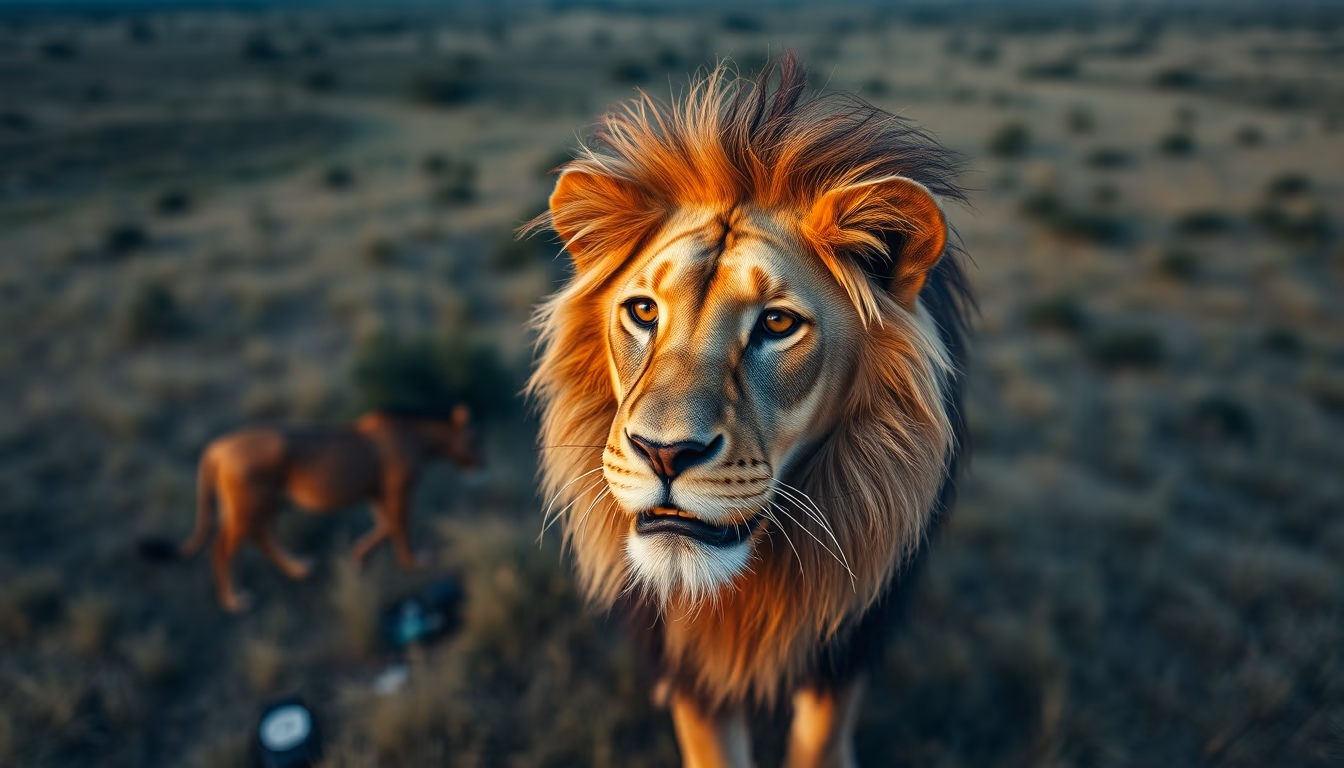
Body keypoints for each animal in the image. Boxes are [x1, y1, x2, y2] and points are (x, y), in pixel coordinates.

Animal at [181, 406, 481, 613]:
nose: (483, 462)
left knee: (262, 537)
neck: (419, 437)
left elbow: (385, 526)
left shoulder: (375, 493)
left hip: (266, 504)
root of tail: (217, 447)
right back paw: (233, 600)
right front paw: (414, 563)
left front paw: (359, 556)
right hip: (249, 508)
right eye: (474, 439)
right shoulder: (398, 493)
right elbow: (400, 529)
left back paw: (298, 567)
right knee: (221, 547)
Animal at [525, 53, 972, 767]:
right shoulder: (690, 668)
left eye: (778, 324)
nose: (664, 453)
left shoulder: (844, 647)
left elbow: (820, 743)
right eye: (643, 310)